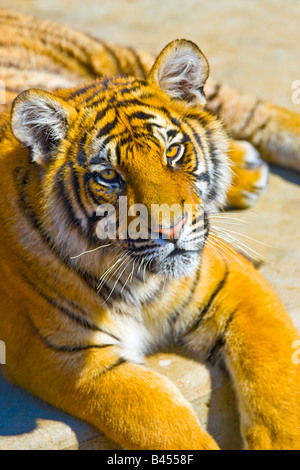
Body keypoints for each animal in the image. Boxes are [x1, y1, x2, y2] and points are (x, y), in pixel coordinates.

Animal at [0, 11, 298, 450]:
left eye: (173, 152)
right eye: (109, 176)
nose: (171, 230)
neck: (141, 281)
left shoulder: (234, 281)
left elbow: (278, 391)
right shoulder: (64, 353)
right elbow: (160, 419)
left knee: (252, 110)